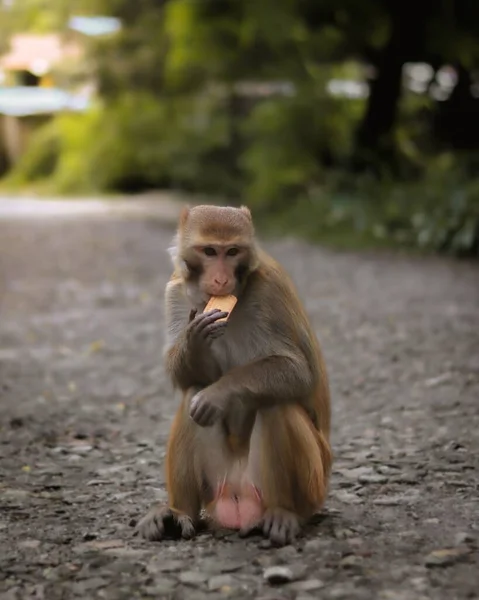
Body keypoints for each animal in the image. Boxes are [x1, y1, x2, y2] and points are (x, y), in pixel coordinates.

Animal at [138, 204, 334, 548]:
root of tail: (239, 500)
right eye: (209, 251)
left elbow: (299, 371)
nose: (220, 277)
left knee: (276, 404)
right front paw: (194, 342)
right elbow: (184, 376)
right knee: (193, 394)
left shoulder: (271, 291)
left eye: (232, 251)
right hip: (218, 483)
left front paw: (219, 393)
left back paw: (284, 513)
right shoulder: (174, 291)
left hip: (313, 485)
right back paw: (180, 514)